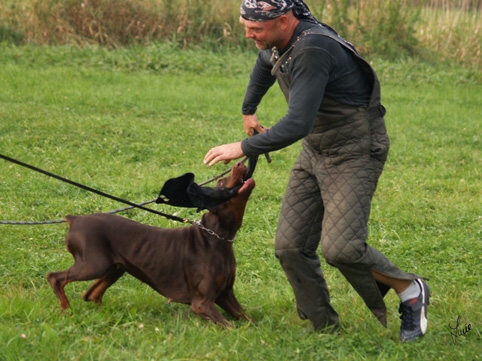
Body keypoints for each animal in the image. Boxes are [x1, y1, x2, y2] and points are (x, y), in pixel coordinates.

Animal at [45, 162, 256, 324]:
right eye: (221, 181)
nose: (239, 163)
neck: (217, 237)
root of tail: (75, 219)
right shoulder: (202, 303)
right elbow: (230, 327)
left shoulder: (225, 294)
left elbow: (248, 321)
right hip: (94, 264)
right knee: (55, 277)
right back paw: (66, 310)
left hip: (115, 267)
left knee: (91, 295)